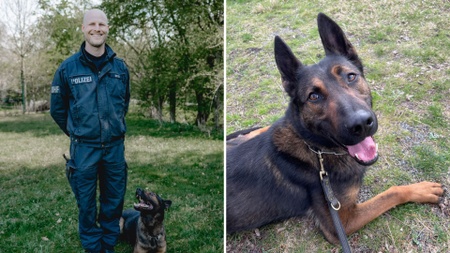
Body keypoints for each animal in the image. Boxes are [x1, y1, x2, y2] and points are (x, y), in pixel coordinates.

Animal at [225, 13, 442, 243]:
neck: (317, 149)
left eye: (351, 76)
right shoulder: (343, 222)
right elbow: (392, 192)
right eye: (314, 96)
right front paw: (421, 189)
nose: (361, 124)